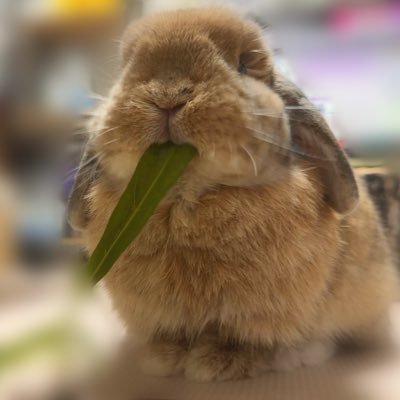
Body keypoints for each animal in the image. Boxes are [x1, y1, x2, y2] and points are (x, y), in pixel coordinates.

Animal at [69, 7, 400, 382]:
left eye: (243, 64)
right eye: (127, 65)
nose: (168, 96)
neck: (183, 197)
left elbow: (247, 338)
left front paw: (217, 362)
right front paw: (162, 357)